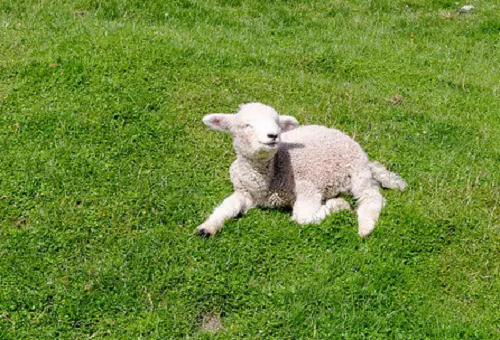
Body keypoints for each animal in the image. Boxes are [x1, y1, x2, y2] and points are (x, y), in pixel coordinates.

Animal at [195, 102, 406, 238]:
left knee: (372, 197)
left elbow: (302, 218)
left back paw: (366, 227)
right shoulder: (245, 192)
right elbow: (227, 206)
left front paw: (337, 205)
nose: (273, 135)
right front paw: (207, 227)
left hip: (357, 170)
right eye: (246, 125)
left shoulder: (307, 188)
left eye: (277, 124)